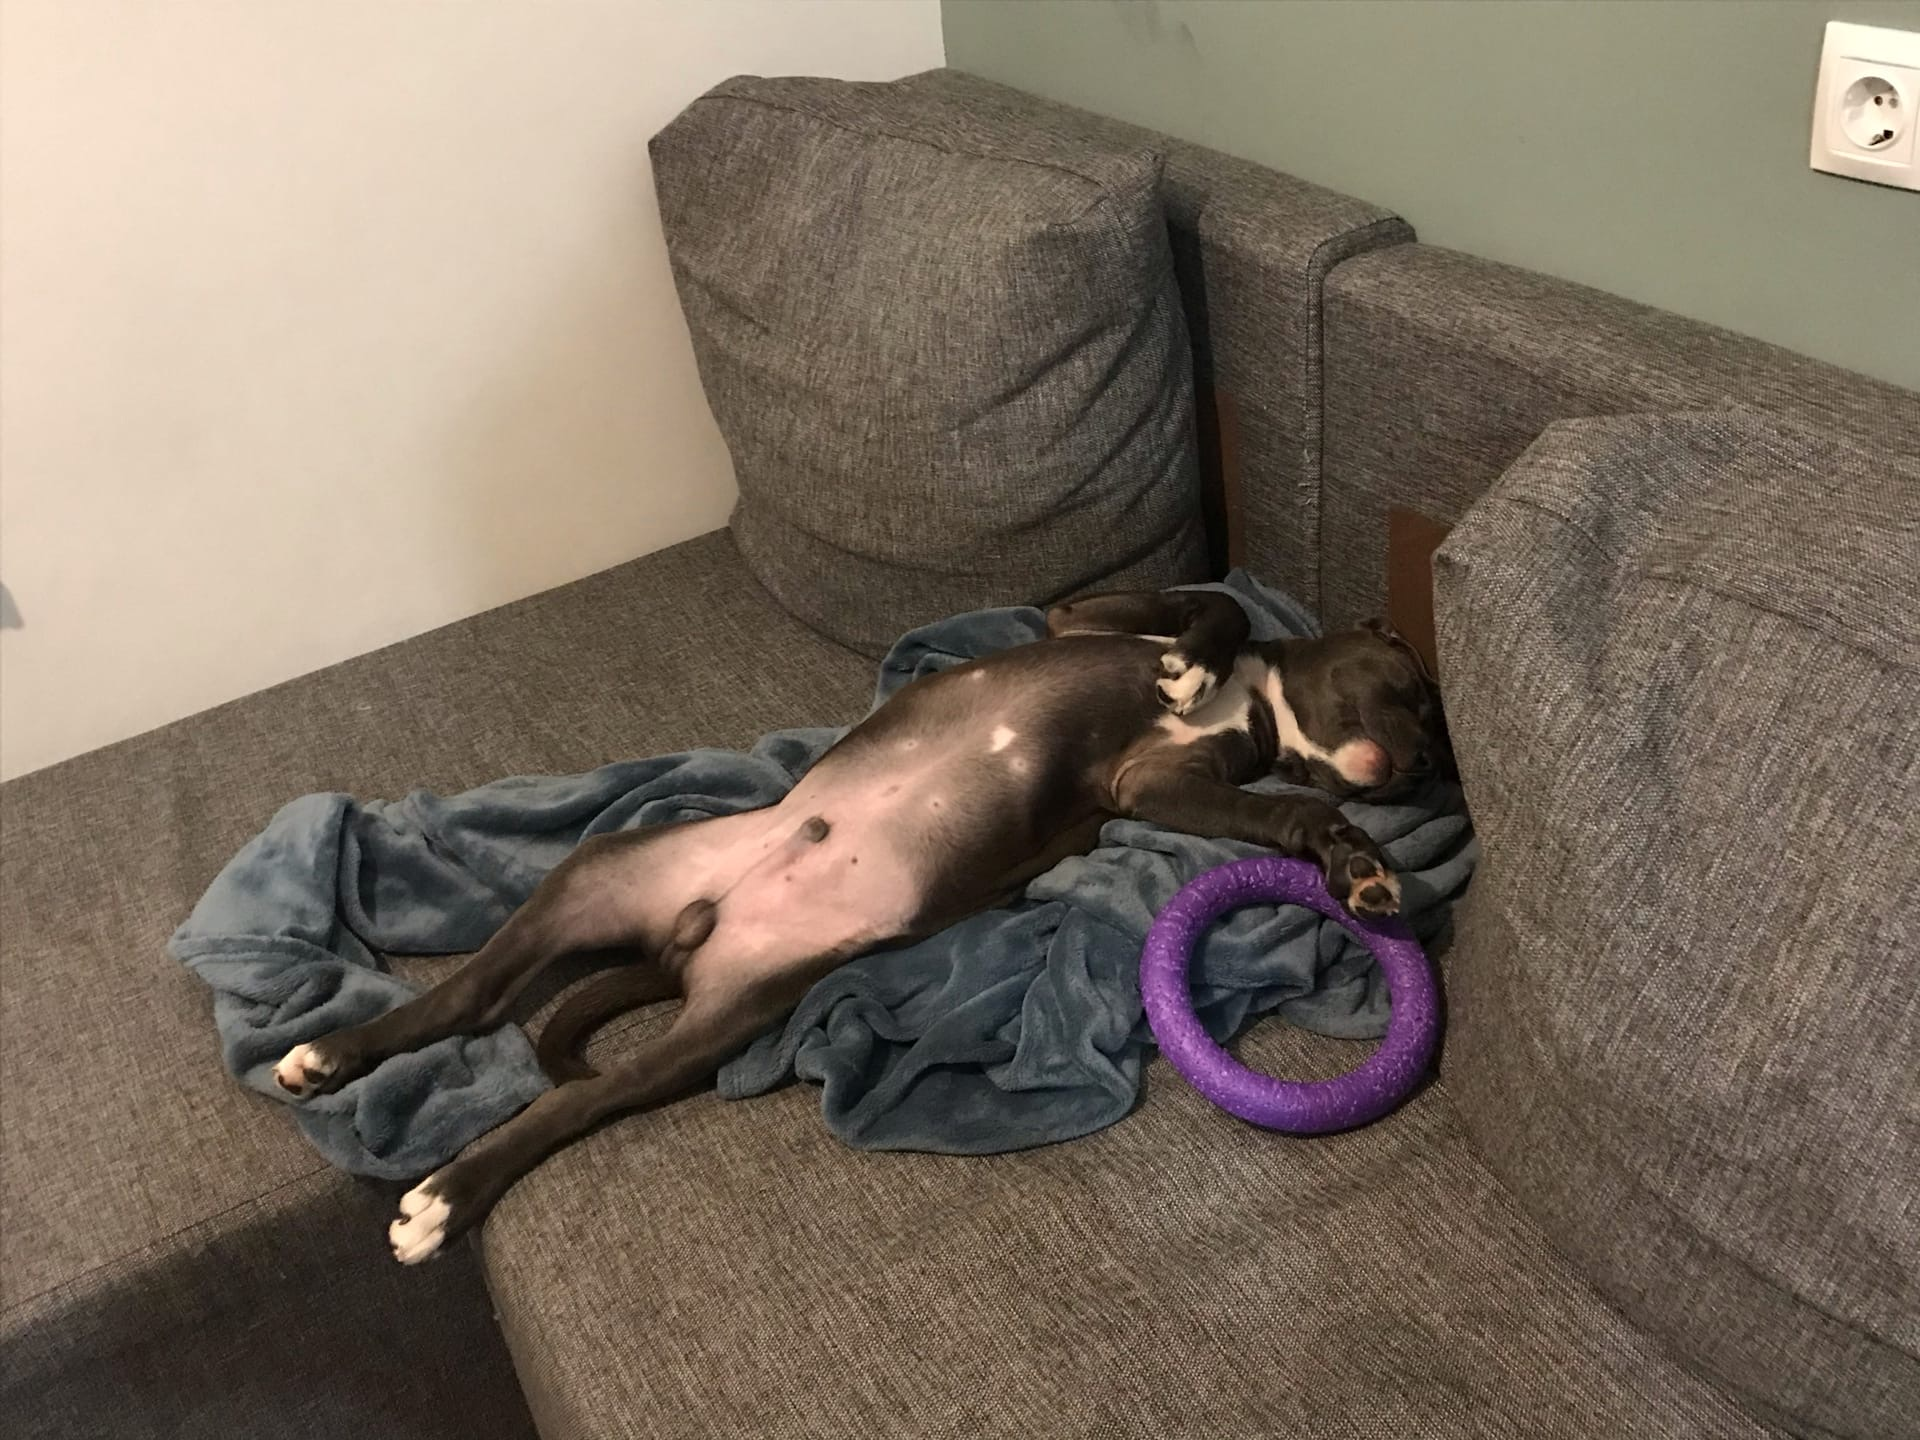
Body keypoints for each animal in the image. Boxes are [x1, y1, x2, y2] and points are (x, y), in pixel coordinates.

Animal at [272, 587, 1453, 1263]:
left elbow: (1288, 812)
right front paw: (1197, 656)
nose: (1416, 769)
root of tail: (692, 933)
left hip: (715, 1012)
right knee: (476, 994)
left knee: (566, 1090)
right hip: (602, 875)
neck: (1261, 711)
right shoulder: (1090, 632)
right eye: (1408, 687)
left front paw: (1357, 864)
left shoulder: (1166, 783)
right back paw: (342, 1064)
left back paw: (434, 1180)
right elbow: (1215, 604)